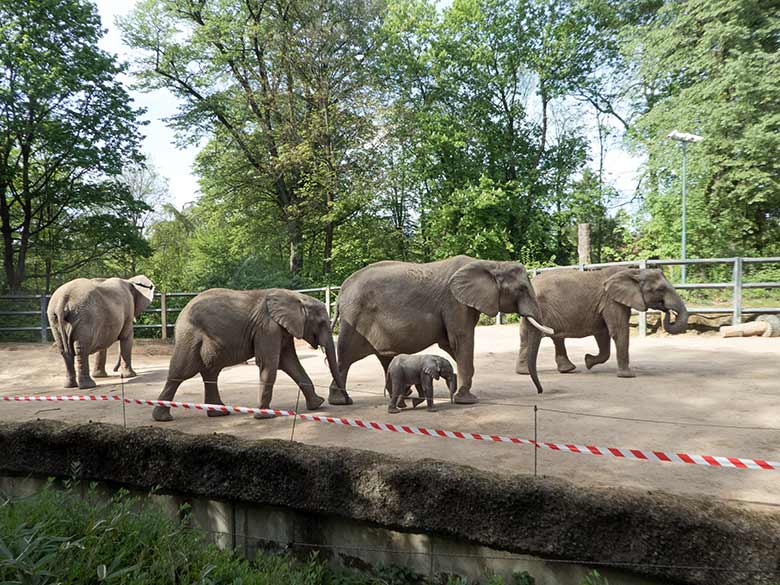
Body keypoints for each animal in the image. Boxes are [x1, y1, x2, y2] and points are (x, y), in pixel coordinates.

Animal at [330, 256, 556, 402]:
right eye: (522, 289)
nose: (540, 392)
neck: (491, 263)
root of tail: (341, 292)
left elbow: (451, 344)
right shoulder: (455, 303)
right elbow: (461, 339)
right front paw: (467, 399)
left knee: (384, 357)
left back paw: (404, 396)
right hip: (354, 320)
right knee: (345, 358)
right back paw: (341, 401)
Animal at [516, 264, 688, 384]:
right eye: (660, 289)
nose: (667, 311)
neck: (633, 272)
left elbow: (603, 333)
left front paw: (588, 362)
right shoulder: (611, 300)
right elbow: (618, 331)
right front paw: (628, 376)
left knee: (546, 337)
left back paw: (567, 369)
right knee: (534, 337)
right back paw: (527, 372)